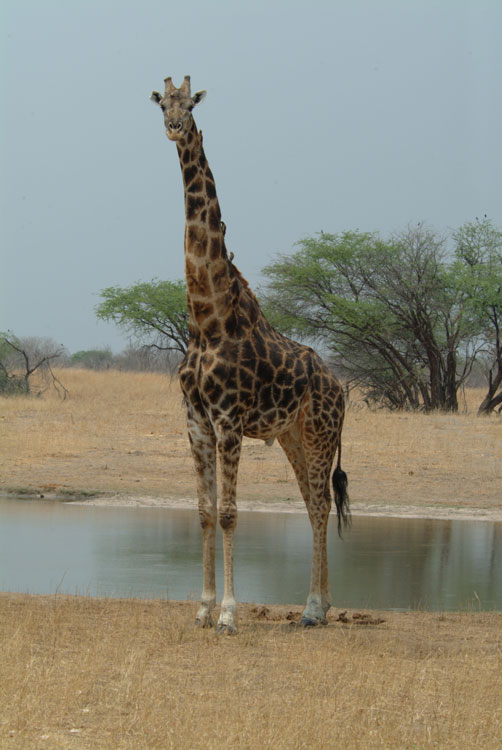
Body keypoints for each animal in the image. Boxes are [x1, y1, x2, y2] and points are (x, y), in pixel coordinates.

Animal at [151, 76, 350, 632]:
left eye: (190, 103)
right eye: (162, 102)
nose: (174, 126)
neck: (208, 318)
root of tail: (341, 388)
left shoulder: (229, 419)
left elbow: (229, 513)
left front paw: (228, 615)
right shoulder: (196, 420)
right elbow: (202, 511)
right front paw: (201, 609)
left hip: (320, 431)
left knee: (320, 503)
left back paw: (312, 609)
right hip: (292, 435)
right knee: (312, 501)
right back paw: (323, 604)